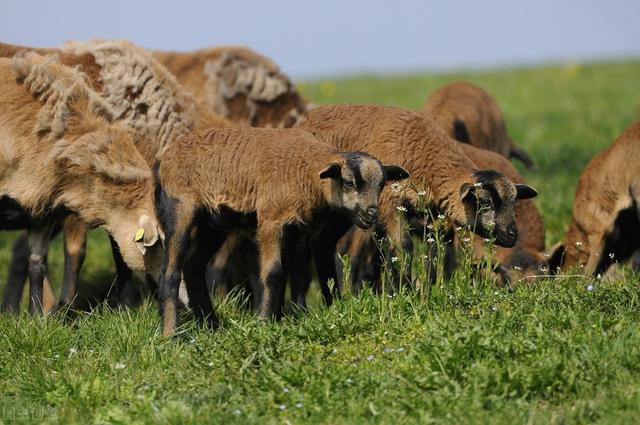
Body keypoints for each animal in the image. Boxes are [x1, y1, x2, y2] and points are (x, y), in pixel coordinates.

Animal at [152, 126, 408, 334]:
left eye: (381, 185)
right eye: (348, 183)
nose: (371, 215)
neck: (306, 171)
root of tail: (162, 159)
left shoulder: (298, 229)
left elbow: (297, 271)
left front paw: (300, 315)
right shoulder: (270, 221)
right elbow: (273, 273)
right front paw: (265, 321)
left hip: (213, 224)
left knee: (193, 268)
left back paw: (212, 327)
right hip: (180, 209)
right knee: (170, 273)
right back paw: (171, 335)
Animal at [298, 103, 536, 294]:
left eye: (514, 202)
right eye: (485, 202)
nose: (512, 234)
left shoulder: (433, 215)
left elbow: (434, 251)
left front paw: (428, 290)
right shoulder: (390, 205)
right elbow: (404, 246)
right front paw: (406, 291)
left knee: (324, 244)